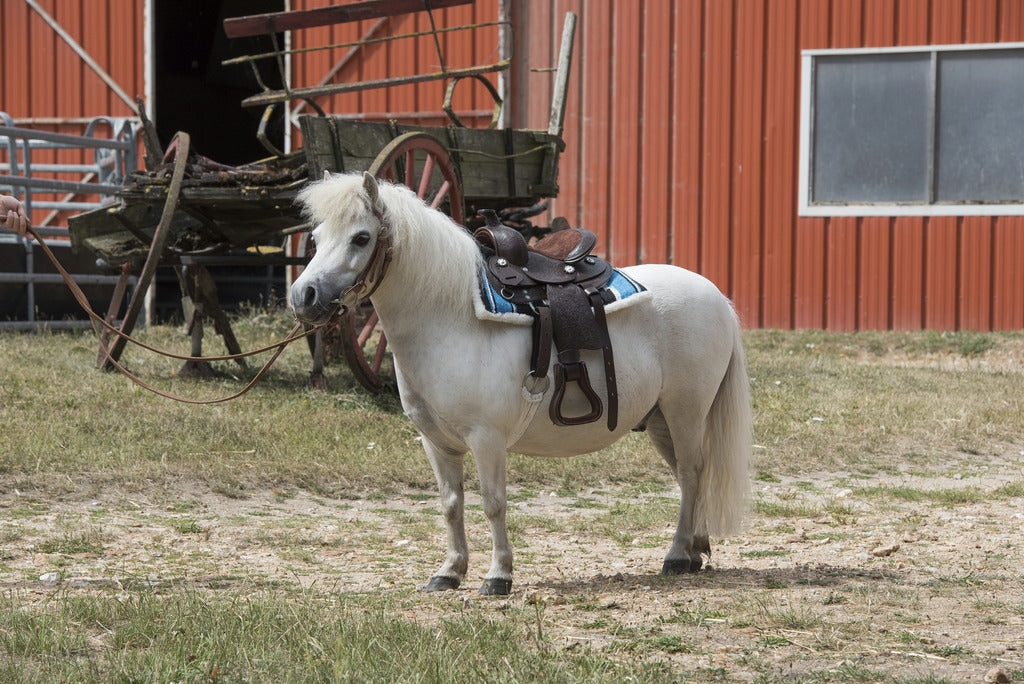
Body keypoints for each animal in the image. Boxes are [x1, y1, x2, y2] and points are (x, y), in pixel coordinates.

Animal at [290, 174, 753, 593]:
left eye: (361, 238)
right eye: (315, 236)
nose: (303, 296)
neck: (450, 318)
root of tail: (716, 295)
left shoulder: (486, 438)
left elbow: (493, 504)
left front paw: (498, 576)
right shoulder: (436, 442)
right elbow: (451, 505)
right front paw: (449, 572)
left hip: (685, 410)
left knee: (691, 473)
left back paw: (676, 556)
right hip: (659, 420)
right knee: (687, 474)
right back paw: (695, 548)